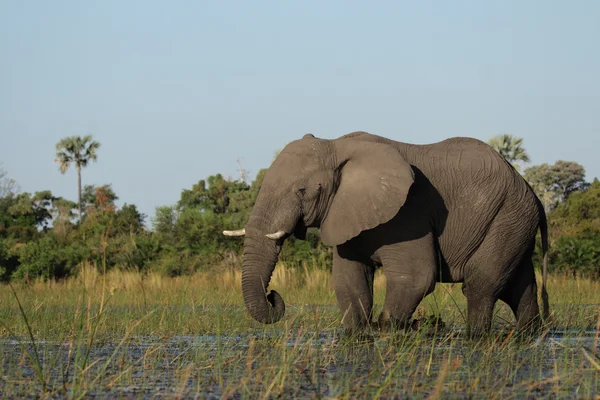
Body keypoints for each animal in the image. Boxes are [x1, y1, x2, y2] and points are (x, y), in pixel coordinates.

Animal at [221, 132, 548, 338]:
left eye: (301, 190)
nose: (273, 295)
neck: (336, 146)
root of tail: (530, 189)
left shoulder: (409, 211)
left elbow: (415, 277)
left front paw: (387, 333)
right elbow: (349, 283)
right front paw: (358, 335)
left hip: (508, 215)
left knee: (481, 283)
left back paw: (476, 336)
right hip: (513, 220)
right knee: (518, 286)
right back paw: (528, 334)